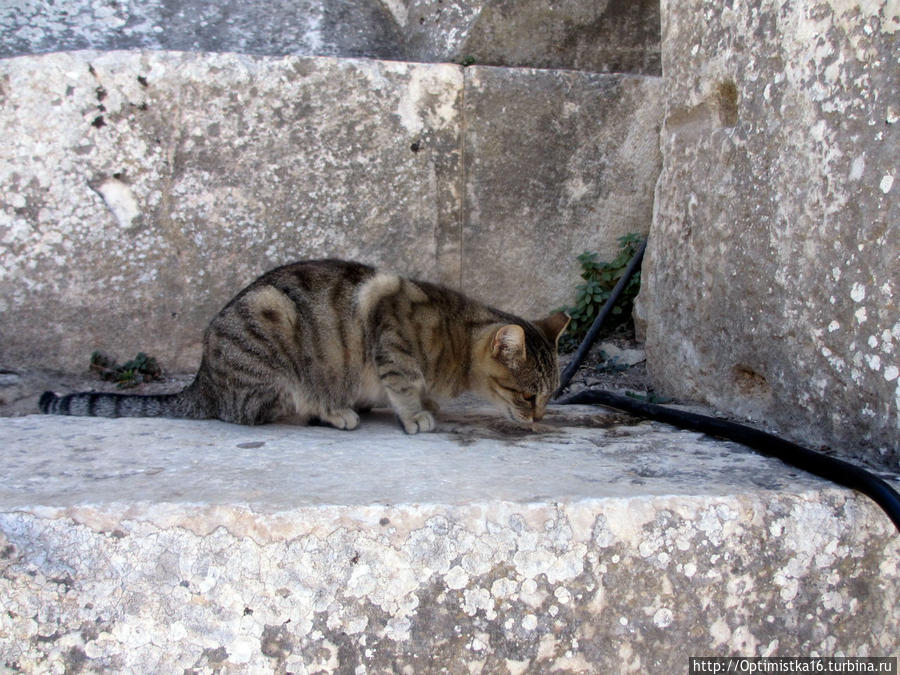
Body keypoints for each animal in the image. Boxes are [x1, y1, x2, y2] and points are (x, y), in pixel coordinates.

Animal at [40, 258, 568, 434]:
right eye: (528, 395)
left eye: (550, 396)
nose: (539, 420)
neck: (455, 333)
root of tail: (203, 381)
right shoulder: (390, 333)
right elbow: (403, 384)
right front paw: (416, 414)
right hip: (273, 327)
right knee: (267, 409)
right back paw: (335, 411)